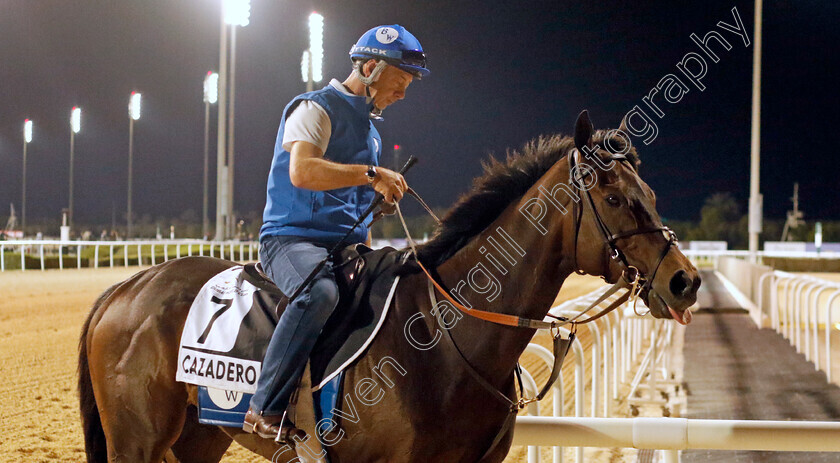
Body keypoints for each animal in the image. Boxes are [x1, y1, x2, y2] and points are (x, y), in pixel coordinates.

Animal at [79, 110, 700, 462]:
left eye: (648, 191)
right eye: (614, 197)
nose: (685, 280)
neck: (448, 338)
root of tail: (125, 288)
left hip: (199, 437)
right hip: (136, 442)